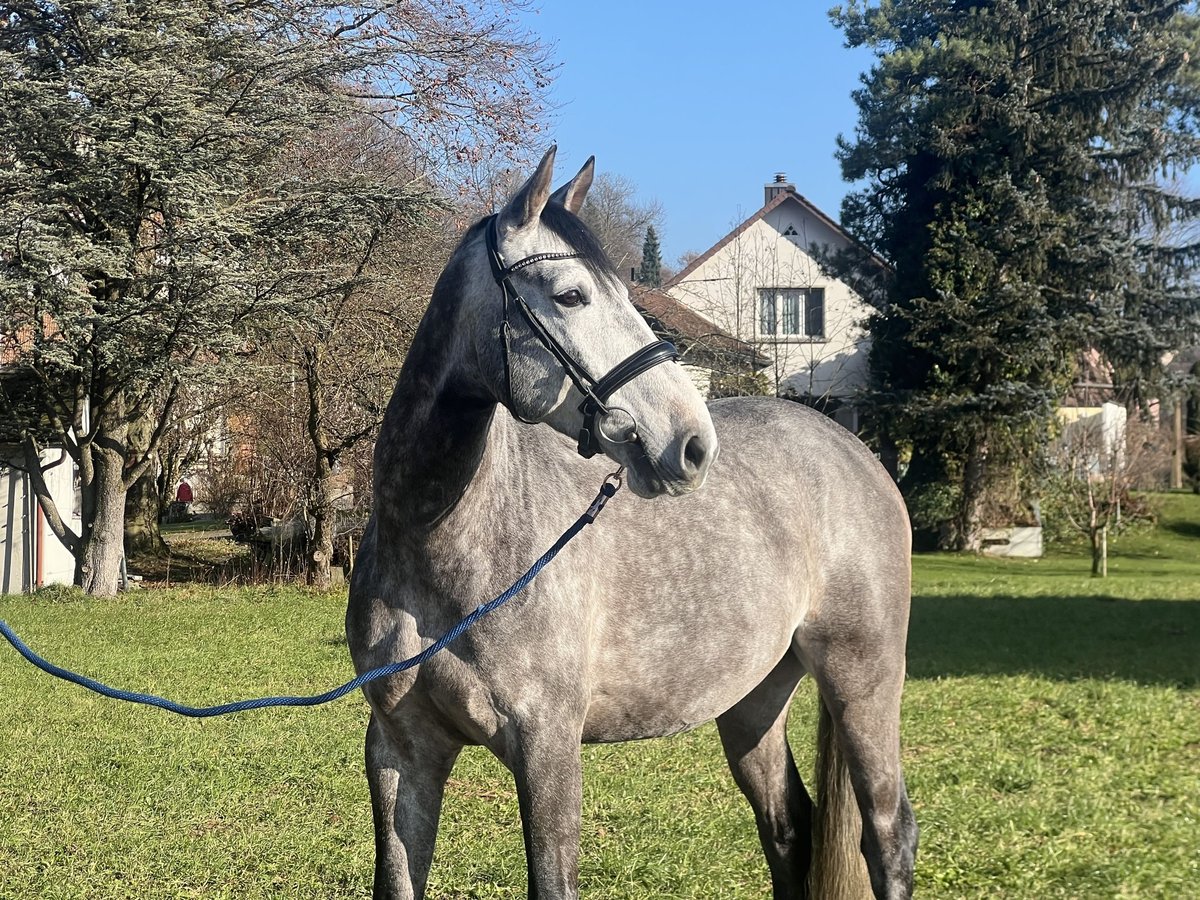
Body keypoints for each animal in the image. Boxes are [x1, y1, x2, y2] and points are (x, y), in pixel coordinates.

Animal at [348, 150, 916, 900]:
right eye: (570, 296)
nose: (692, 443)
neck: (439, 543)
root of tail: (858, 453)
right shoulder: (400, 749)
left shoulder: (547, 747)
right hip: (755, 699)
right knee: (789, 828)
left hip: (863, 682)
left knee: (887, 834)